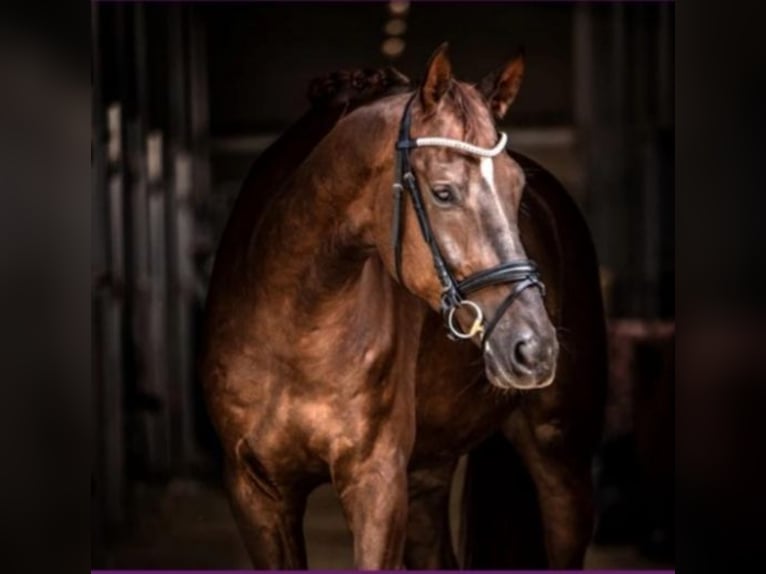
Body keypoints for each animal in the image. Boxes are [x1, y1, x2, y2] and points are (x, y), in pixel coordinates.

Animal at [201, 44, 607, 570]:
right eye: (443, 192)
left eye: (518, 190)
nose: (535, 349)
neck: (296, 322)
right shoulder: (257, 494)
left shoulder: (377, 485)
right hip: (427, 477)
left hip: (561, 462)